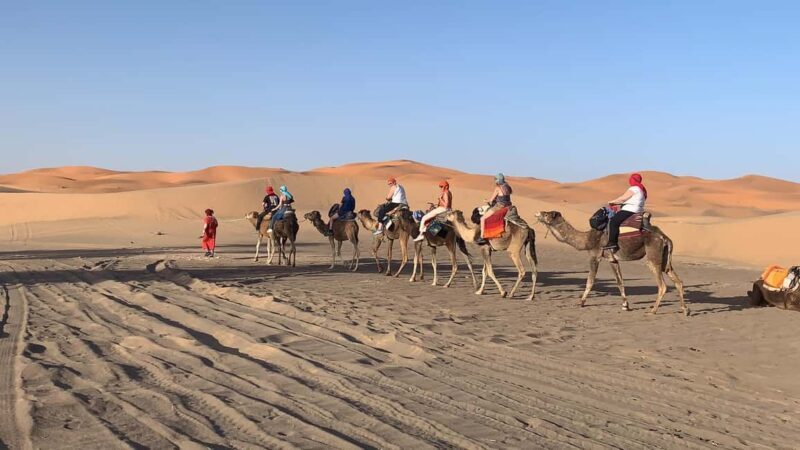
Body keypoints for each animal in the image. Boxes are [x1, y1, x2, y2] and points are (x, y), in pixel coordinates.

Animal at [535, 210, 687, 315]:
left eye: (547, 214)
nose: (538, 213)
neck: (586, 239)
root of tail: (664, 237)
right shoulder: (613, 259)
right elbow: (620, 281)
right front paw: (626, 305)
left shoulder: (595, 255)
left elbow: (590, 281)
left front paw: (581, 302)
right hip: (665, 259)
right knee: (677, 281)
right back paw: (685, 309)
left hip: (653, 255)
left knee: (662, 285)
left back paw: (653, 310)